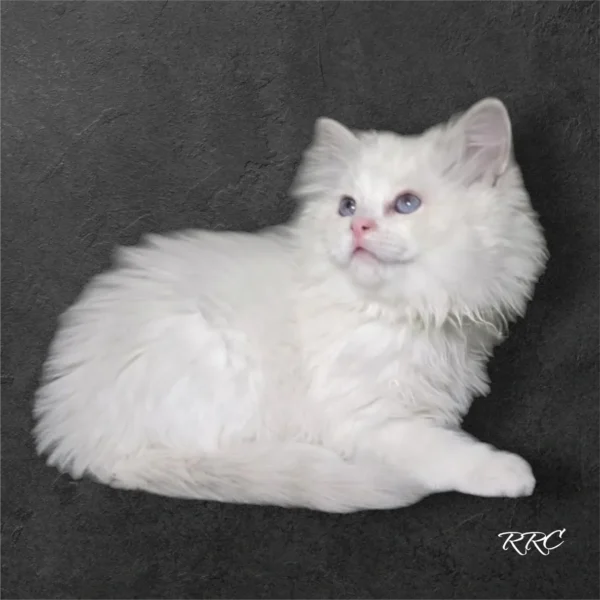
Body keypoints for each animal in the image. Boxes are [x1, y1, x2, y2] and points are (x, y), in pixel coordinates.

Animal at [32, 97, 548, 510]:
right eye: (347, 206)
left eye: (406, 204)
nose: (357, 227)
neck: (402, 312)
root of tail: (75, 434)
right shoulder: (367, 419)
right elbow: (441, 450)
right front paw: (507, 472)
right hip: (212, 357)